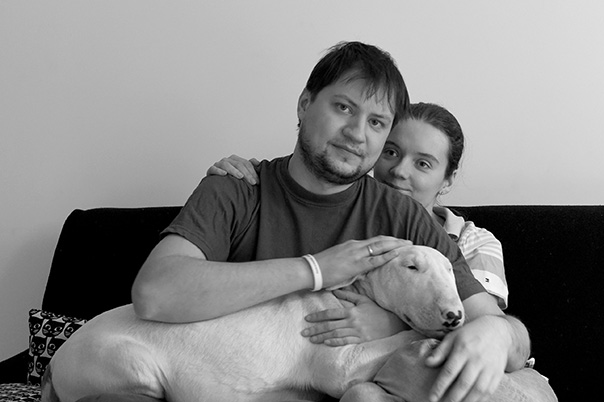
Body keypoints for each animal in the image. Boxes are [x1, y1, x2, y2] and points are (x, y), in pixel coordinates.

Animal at [42, 245, 464, 402]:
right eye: (411, 267)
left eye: (450, 269)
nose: (454, 316)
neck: (349, 292)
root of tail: (53, 362)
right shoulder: (337, 362)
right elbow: (396, 337)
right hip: (125, 362)